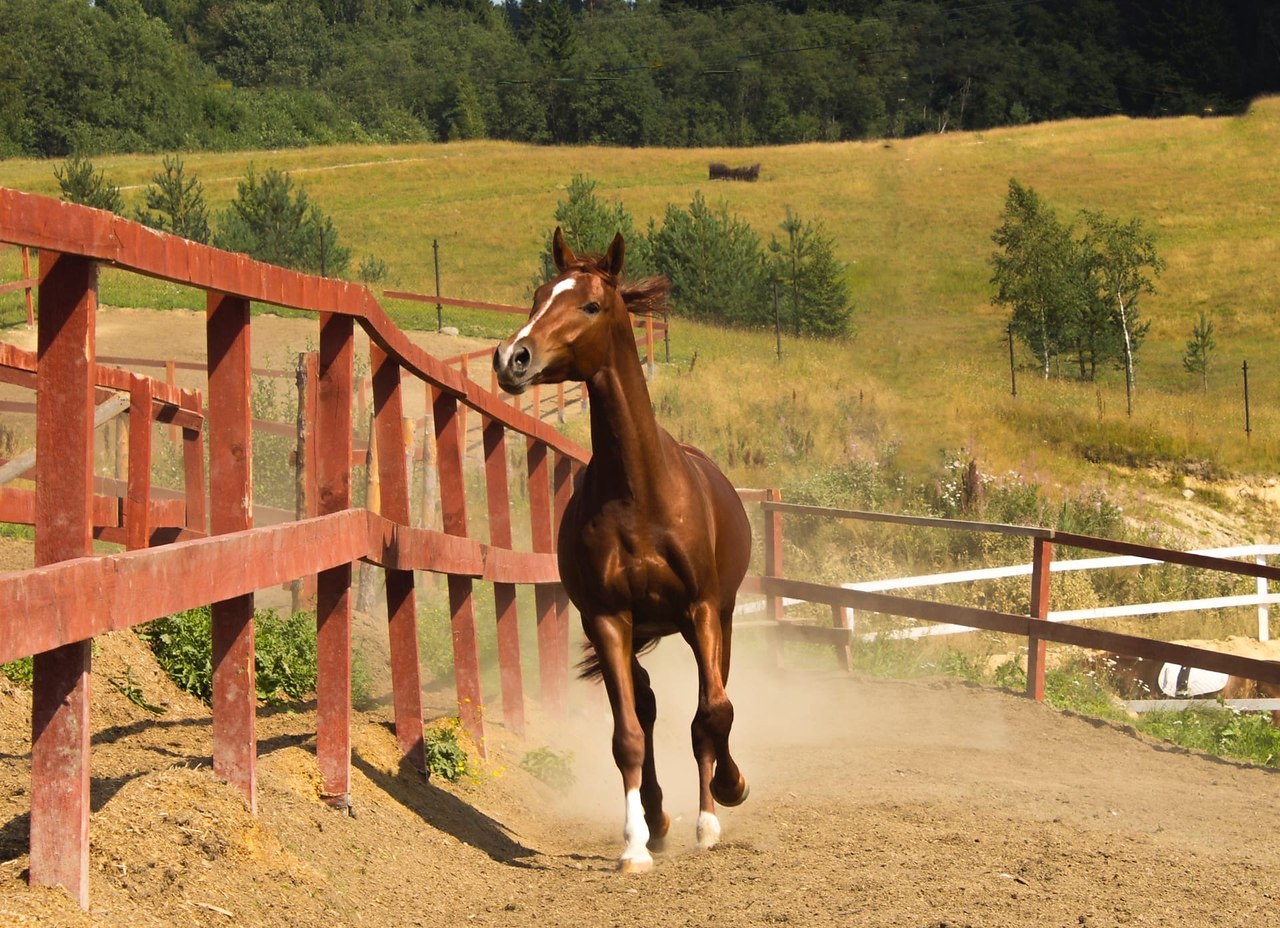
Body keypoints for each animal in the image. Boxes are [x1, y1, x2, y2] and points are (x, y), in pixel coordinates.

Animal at [488, 227, 747, 870]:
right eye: (537, 297)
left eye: (589, 305)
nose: (512, 358)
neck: (638, 495)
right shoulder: (607, 618)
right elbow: (627, 733)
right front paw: (635, 844)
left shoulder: (703, 610)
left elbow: (714, 711)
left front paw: (725, 795)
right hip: (637, 631)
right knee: (648, 706)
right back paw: (657, 817)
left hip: (720, 619)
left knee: (709, 705)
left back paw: (708, 811)